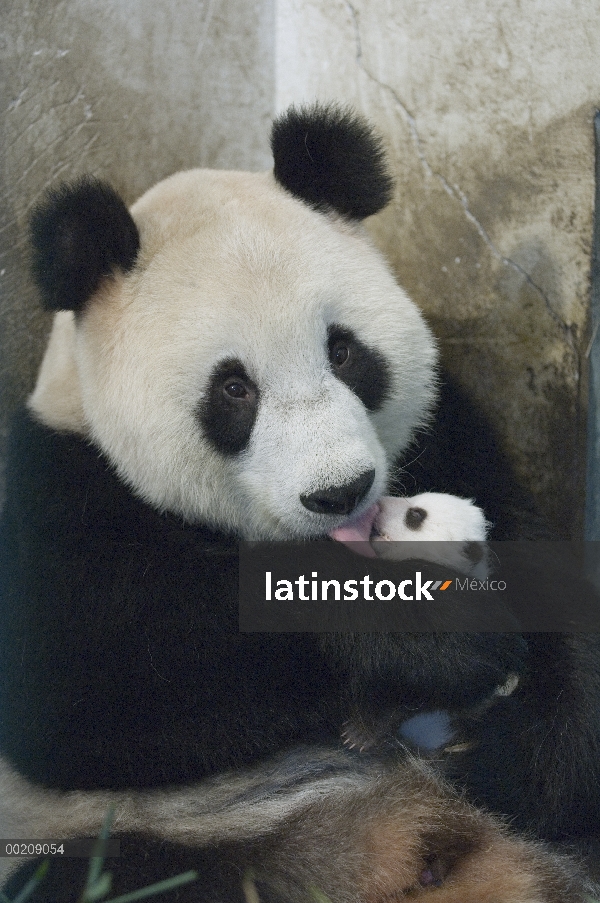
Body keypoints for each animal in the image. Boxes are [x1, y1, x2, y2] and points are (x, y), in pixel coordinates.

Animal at [0, 102, 596, 900]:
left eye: (343, 351)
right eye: (233, 388)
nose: (340, 491)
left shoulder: (443, 433)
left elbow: (540, 572)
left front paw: (519, 750)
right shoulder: (63, 488)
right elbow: (88, 691)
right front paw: (434, 639)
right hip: (152, 831)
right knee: (104, 872)